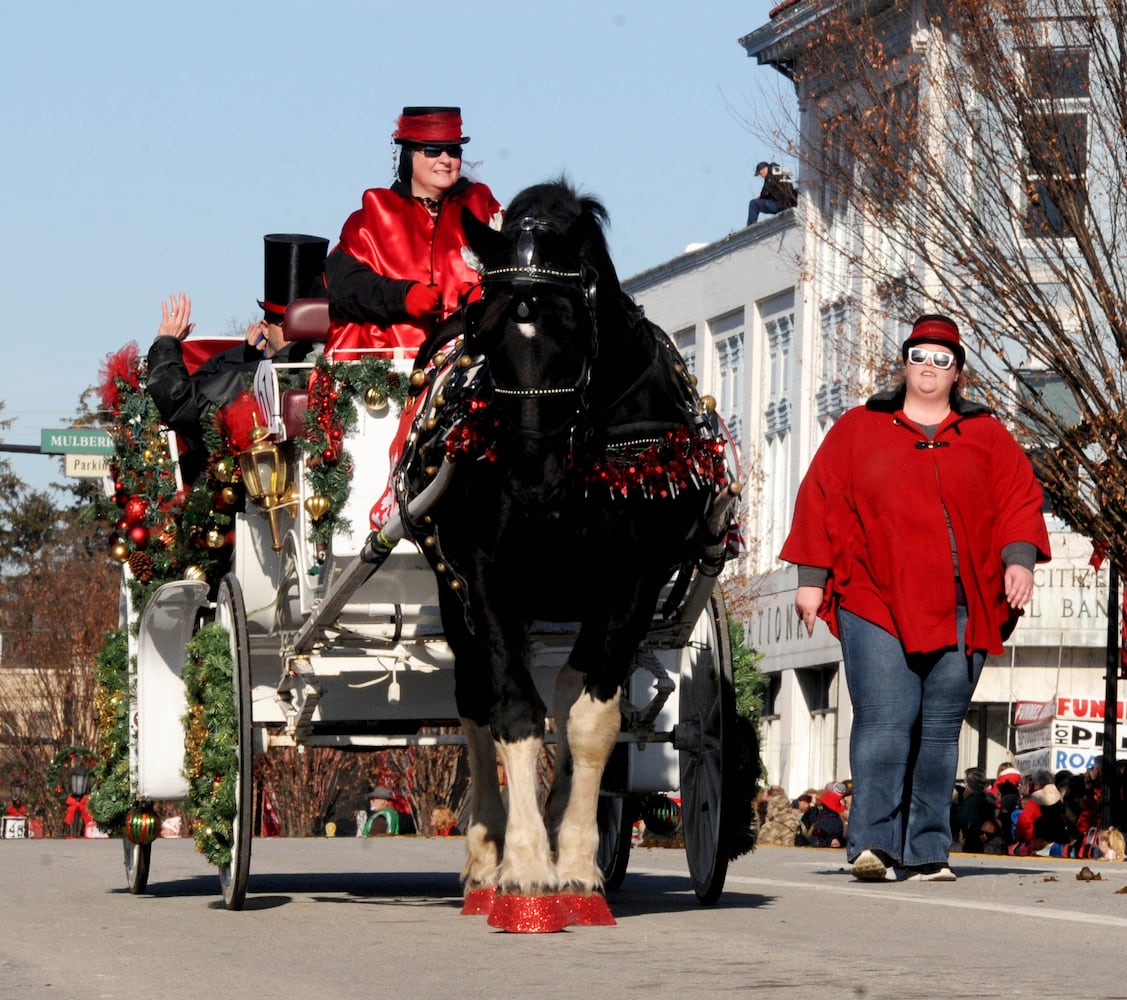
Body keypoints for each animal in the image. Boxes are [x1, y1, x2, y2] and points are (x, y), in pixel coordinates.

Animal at [392, 180, 734, 928]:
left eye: (572, 327)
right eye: (485, 331)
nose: (529, 473)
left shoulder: (630, 582)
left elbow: (589, 720)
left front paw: (574, 866)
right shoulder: (486, 577)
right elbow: (513, 715)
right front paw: (522, 869)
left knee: (566, 690)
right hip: (456, 596)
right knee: (476, 705)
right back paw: (485, 859)